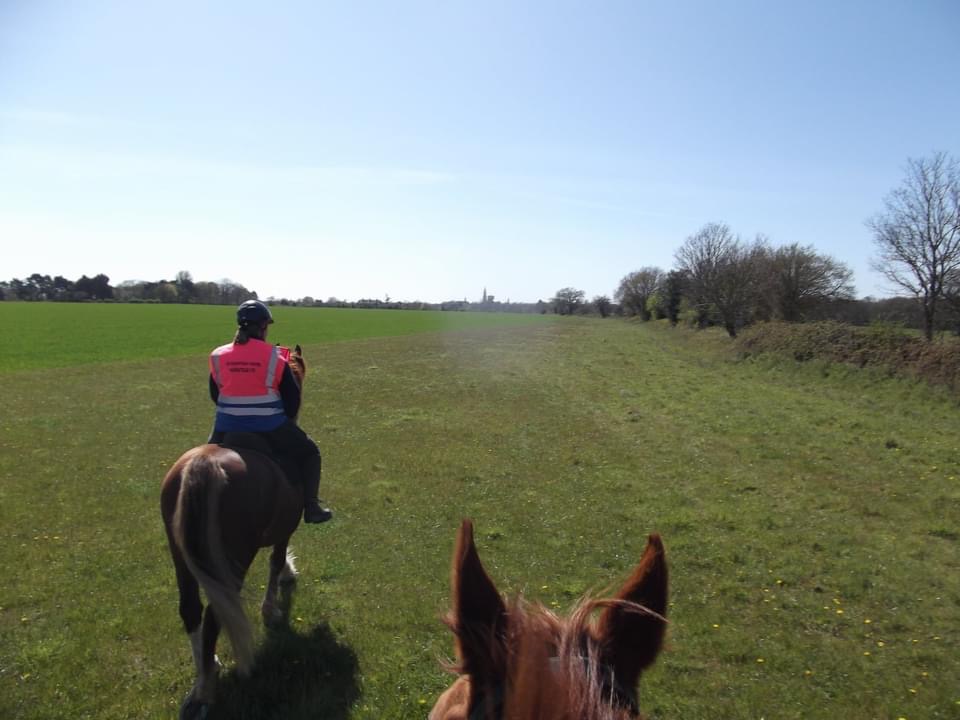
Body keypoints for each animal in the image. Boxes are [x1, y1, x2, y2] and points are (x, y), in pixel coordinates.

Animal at [159, 346, 306, 716]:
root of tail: (204, 465)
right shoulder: (285, 527)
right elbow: (276, 560)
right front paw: (274, 603)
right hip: (235, 556)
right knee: (214, 615)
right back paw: (208, 690)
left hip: (182, 556)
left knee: (191, 609)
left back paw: (205, 669)